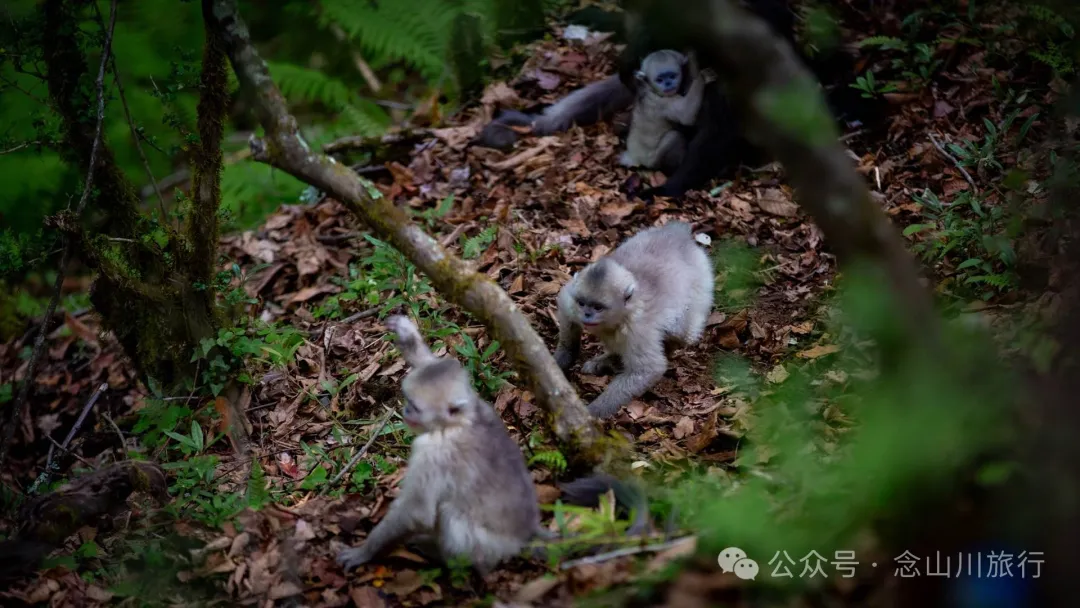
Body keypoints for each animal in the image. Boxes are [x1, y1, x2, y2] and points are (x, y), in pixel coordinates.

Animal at [337, 315, 544, 576]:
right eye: (408, 401)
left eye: (415, 407)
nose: (406, 411)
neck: (456, 424)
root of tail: (524, 536)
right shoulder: (475, 401)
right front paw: (409, 338)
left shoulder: (433, 455)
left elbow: (417, 513)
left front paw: (365, 551)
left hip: (486, 550)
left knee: (450, 514)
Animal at [553, 222, 714, 418]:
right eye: (582, 303)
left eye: (598, 307)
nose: (587, 315)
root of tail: (678, 233)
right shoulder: (571, 302)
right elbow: (566, 313)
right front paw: (559, 362)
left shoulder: (638, 330)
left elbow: (649, 369)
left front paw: (591, 414)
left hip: (701, 284)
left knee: (682, 333)